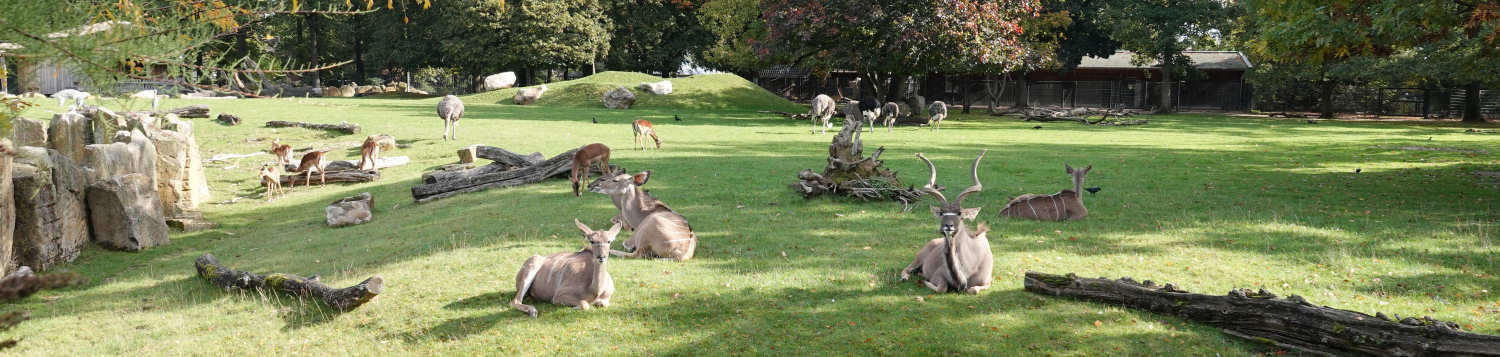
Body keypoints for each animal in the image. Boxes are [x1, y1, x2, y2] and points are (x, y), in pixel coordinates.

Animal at [900, 150, 996, 292]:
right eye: (941, 213)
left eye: (960, 213)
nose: (948, 226)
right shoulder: (938, 276)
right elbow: (942, 288)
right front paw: (926, 282)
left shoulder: (987, 282)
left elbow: (972, 290)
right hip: (918, 259)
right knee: (906, 268)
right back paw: (905, 277)